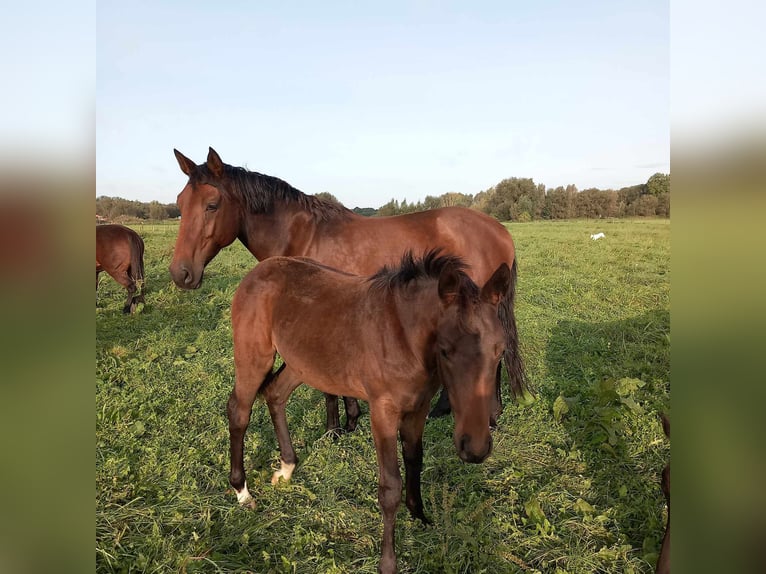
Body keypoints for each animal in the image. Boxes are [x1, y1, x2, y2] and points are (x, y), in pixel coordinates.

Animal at [168, 148, 528, 432]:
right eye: (180, 203)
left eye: (212, 204)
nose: (181, 273)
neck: (303, 234)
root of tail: (499, 230)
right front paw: (351, 418)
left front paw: (334, 428)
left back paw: (489, 415)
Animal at [231, 253, 512, 574]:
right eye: (446, 350)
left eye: (500, 351)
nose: (475, 448)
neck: (404, 337)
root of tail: (258, 270)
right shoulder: (383, 411)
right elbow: (390, 487)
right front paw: (388, 563)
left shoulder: (418, 408)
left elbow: (415, 460)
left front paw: (420, 516)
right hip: (253, 357)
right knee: (239, 412)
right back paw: (242, 492)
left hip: (302, 363)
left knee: (275, 394)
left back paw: (287, 468)